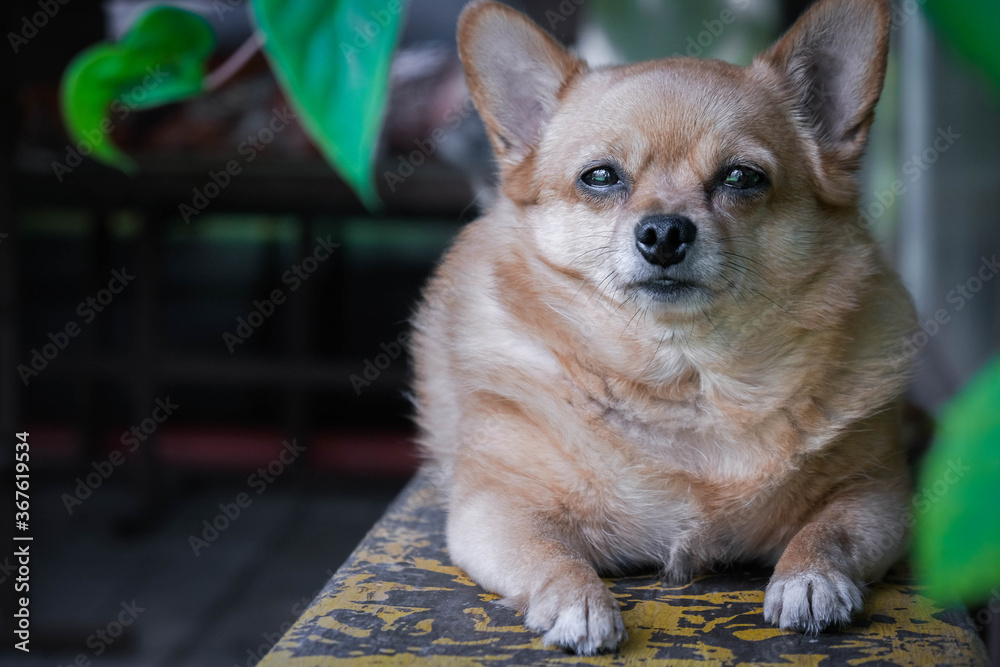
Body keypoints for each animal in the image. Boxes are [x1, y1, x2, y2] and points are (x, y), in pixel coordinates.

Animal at [410, 0, 916, 656]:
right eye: (600, 177)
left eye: (742, 178)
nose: (664, 231)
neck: (687, 381)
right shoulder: (496, 509)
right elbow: (550, 553)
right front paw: (578, 599)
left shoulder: (877, 496)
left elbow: (827, 531)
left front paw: (811, 578)